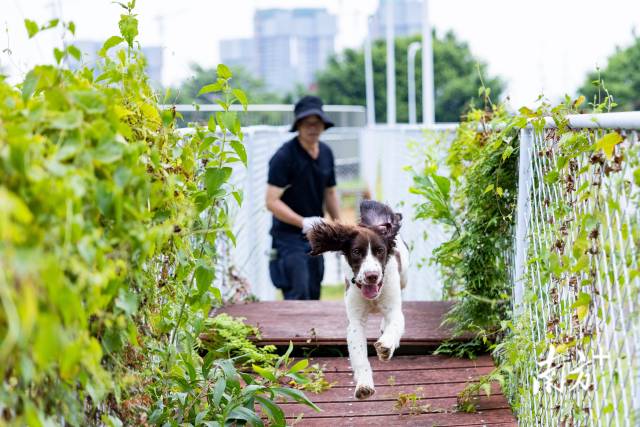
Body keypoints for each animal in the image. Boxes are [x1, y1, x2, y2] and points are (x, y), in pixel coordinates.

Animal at [306, 201, 408, 402]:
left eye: (380, 251)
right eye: (356, 252)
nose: (372, 276)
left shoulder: (394, 309)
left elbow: (394, 324)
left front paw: (386, 345)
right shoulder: (355, 322)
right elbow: (359, 355)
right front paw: (364, 386)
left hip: (404, 277)